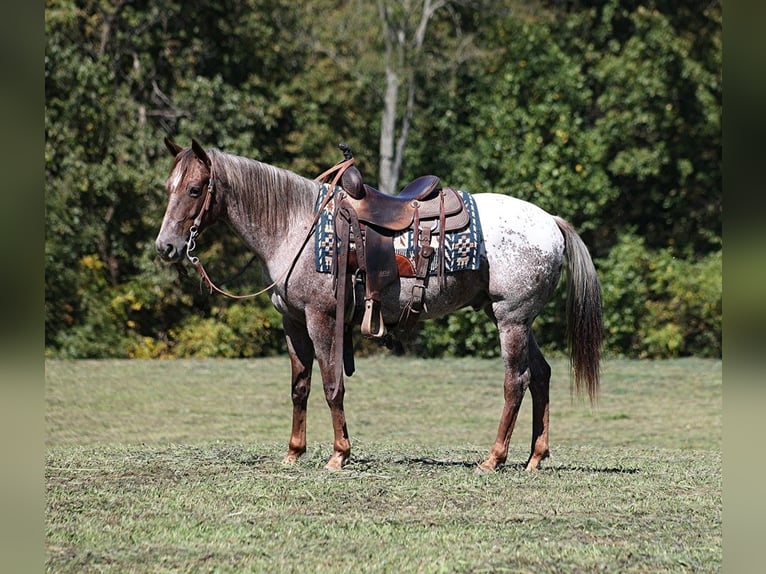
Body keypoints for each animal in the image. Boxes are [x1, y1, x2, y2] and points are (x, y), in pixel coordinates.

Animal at [155, 138, 602, 472]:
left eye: (194, 189)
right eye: (168, 188)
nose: (166, 247)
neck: (296, 227)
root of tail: (550, 222)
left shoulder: (321, 318)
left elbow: (332, 384)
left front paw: (339, 454)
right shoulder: (293, 322)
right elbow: (300, 387)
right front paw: (294, 452)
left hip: (511, 319)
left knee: (516, 381)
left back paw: (494, 459)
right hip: (520, 321)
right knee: (541, 375)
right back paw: (535, 457)